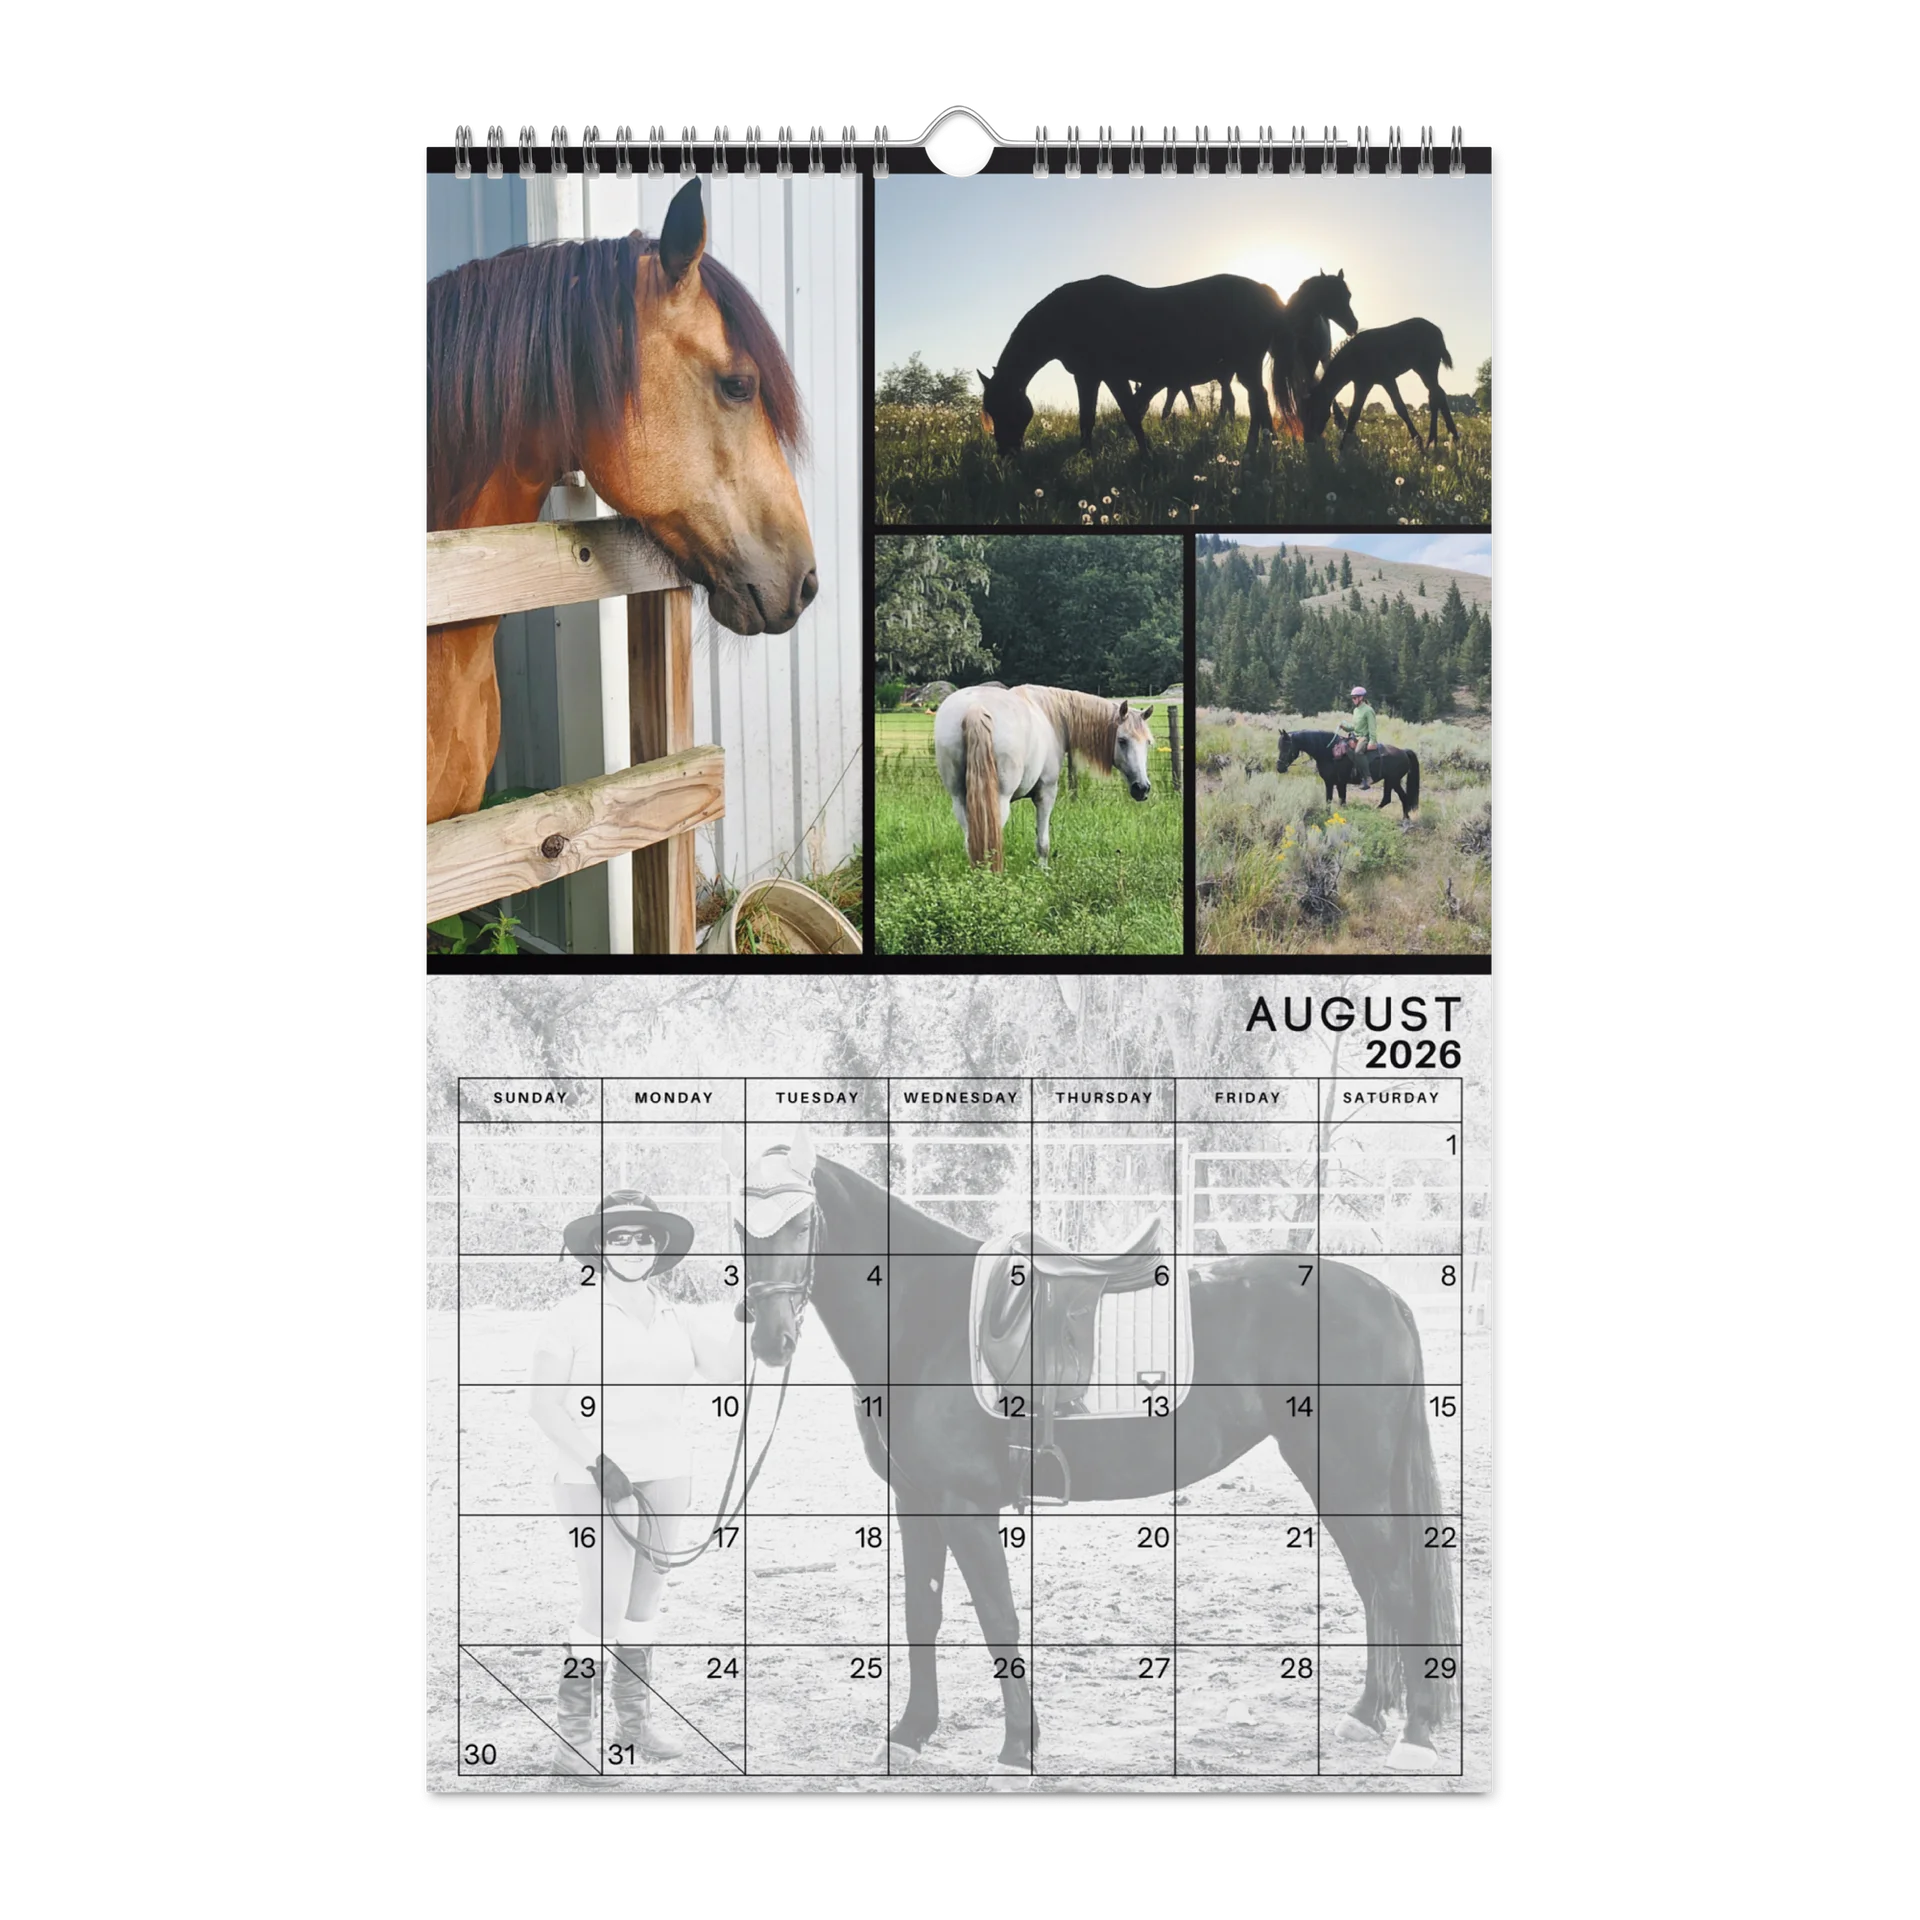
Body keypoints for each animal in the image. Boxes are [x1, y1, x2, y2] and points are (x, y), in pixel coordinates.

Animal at [741, 1142, 1458, 1774]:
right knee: (1373, 1584)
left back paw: (1417, 1735)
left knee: (1397, 1582)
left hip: (1349, 1477)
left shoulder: (964, 1506)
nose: (771, 1341)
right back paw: (1367, 1714)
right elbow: (924, 1614)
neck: (924, 1317)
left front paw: (1017, 1749)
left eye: (802, 1221)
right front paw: (910, 1733)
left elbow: (999, 1620)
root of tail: (1383, 1295)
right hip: (1334, 1478)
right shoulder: (915, 1500)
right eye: (740, 1226)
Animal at [933, 685, 1155, 873]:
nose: (1142, 788)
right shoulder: (1046, 793)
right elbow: (1043, 842)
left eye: (1148, 743)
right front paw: (1043, 871)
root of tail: (976, 708)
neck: (1050, 715)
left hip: (960, 799)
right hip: (999, 800)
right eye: (1122, 740)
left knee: (970, 842)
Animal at [978, 275, 1297, 461]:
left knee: (1258, 400)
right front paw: (1086, 456)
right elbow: (1087, 418)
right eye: (990, 410)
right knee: (1257, 401)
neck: (1070, 315)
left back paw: (1260, 449)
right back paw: (1262, 447)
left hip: (1245, 366)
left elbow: (1130, 413)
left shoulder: (1111, 376)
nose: (1005, 454)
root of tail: (1266, 292)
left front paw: (1146, 455)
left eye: (1007, 408)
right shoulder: (1087, 376)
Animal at [1277, 728, 1422, 818]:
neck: (1329, 753)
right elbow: (1330, 800)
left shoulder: (1339, 783)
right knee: (1397, 797)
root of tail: (1404, 752)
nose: (1279, 767)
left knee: (1393, 798)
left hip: (1392, 780)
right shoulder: (1331, 783)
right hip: (1392, 781)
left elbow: (1340, 801)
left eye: (1287, 747)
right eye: (1279, 747)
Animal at [1301, 319, 1457, 450]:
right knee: (1437, 395)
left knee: (1436, 396)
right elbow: (1353, 414)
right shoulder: (1363, 384)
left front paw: (1418, 442)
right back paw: (1446, 438)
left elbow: (1400, 408)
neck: (1355, 356)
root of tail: (1436, 330)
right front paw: (1342, 450)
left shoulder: (1387, 380)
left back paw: (1437, 439)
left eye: (1313, 411)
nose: (1309, 440)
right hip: (1421, 370)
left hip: (1428, 368)